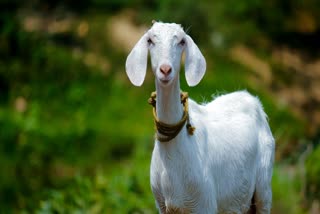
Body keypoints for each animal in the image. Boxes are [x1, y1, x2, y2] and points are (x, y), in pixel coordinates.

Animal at [125, 21, 276, 214]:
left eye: (181, 41)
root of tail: (253, 100)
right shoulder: (163, 205)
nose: (165, 70)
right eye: (150, 40)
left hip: (264, 184)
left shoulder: (204, 203)